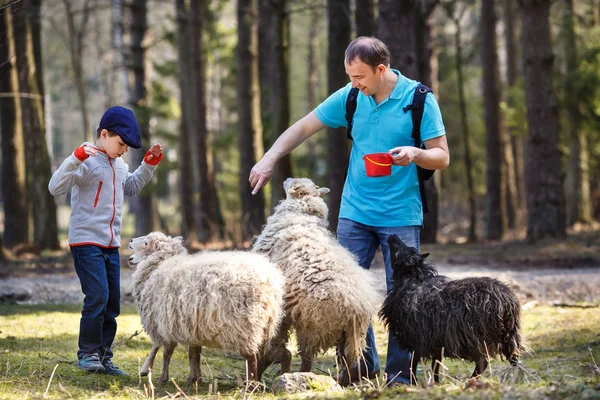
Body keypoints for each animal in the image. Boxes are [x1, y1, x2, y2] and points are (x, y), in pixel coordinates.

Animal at [252, 178, 380, 378]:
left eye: (294, 183)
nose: (286, 179)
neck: (301, 213)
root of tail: (356, 309)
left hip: (312, 327)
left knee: (306, 359)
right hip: (349, 338)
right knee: (347, 362)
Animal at [382, 234, 524, 384]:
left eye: (397, 251)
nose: (392, 235)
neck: (413, 280)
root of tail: (507, 301)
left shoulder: (416, 338)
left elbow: (413, 363)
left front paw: (413, 383)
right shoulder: (435, 339)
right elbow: (436, 365)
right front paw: (436, 383)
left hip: (475, 338)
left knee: (482, 362)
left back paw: (469, 382)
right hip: (508, 335)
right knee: (514, 359)